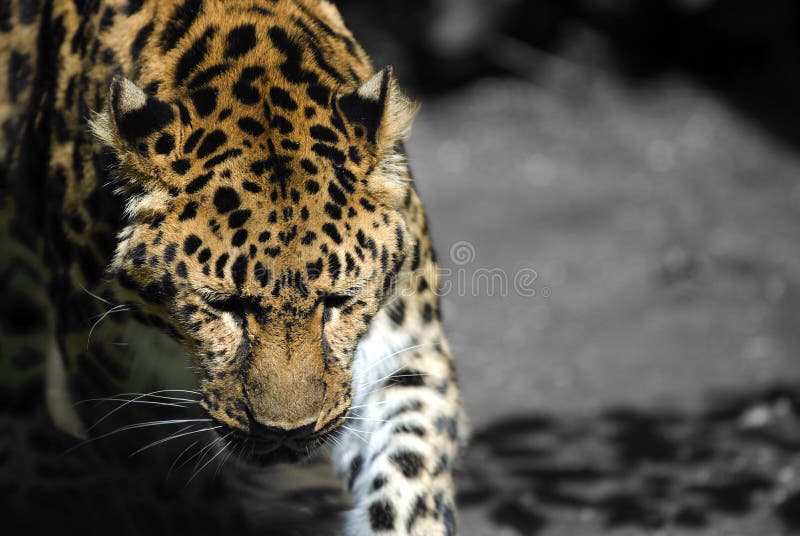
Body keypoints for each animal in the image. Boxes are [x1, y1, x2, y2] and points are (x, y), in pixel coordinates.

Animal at [0, 0, 466, 534]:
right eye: (224, 307)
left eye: (338, 301)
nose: (288, 432)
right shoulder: (120, 393)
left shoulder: (406, 351)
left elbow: (409, 477)